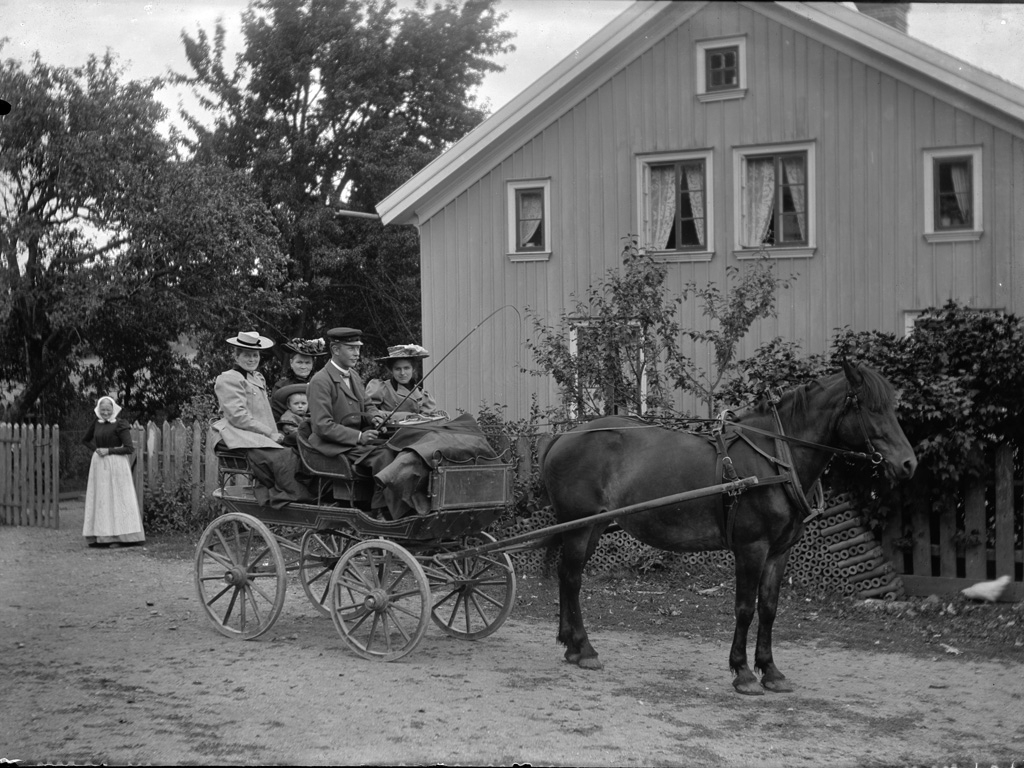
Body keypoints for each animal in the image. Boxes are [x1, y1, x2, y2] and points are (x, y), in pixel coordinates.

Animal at [540, 361, 917, 695]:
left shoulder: (779, 552)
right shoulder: (752, 548)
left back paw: (571, 645)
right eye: (871, 407)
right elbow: (745, 608)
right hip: (579, 528)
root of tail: (564, 435)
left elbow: (768, 609)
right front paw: (744, 672)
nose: (908, 463)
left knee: (567, 576)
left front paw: (771, 670)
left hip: (592, 526)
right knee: (572, 578)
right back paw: (584, 649)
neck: (774, 458)